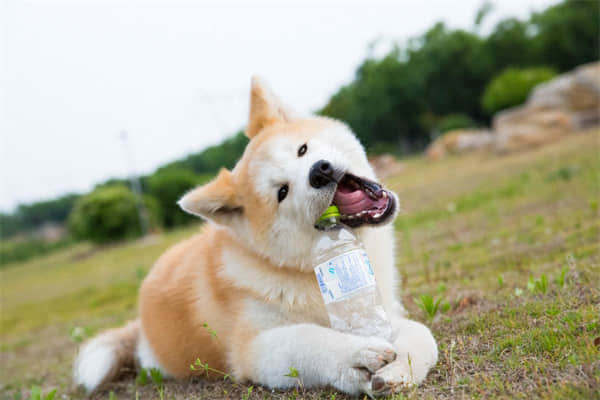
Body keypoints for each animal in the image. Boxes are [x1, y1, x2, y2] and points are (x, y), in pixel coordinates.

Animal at [76, 76, 440, 396]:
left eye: (302, 150)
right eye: (282, 192)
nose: (319, 172)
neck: (300, 269)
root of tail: (140, 325)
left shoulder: (388, 313)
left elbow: (423, 335)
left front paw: (400, 370)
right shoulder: (254, 348)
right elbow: (308, 339)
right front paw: (356, 356)